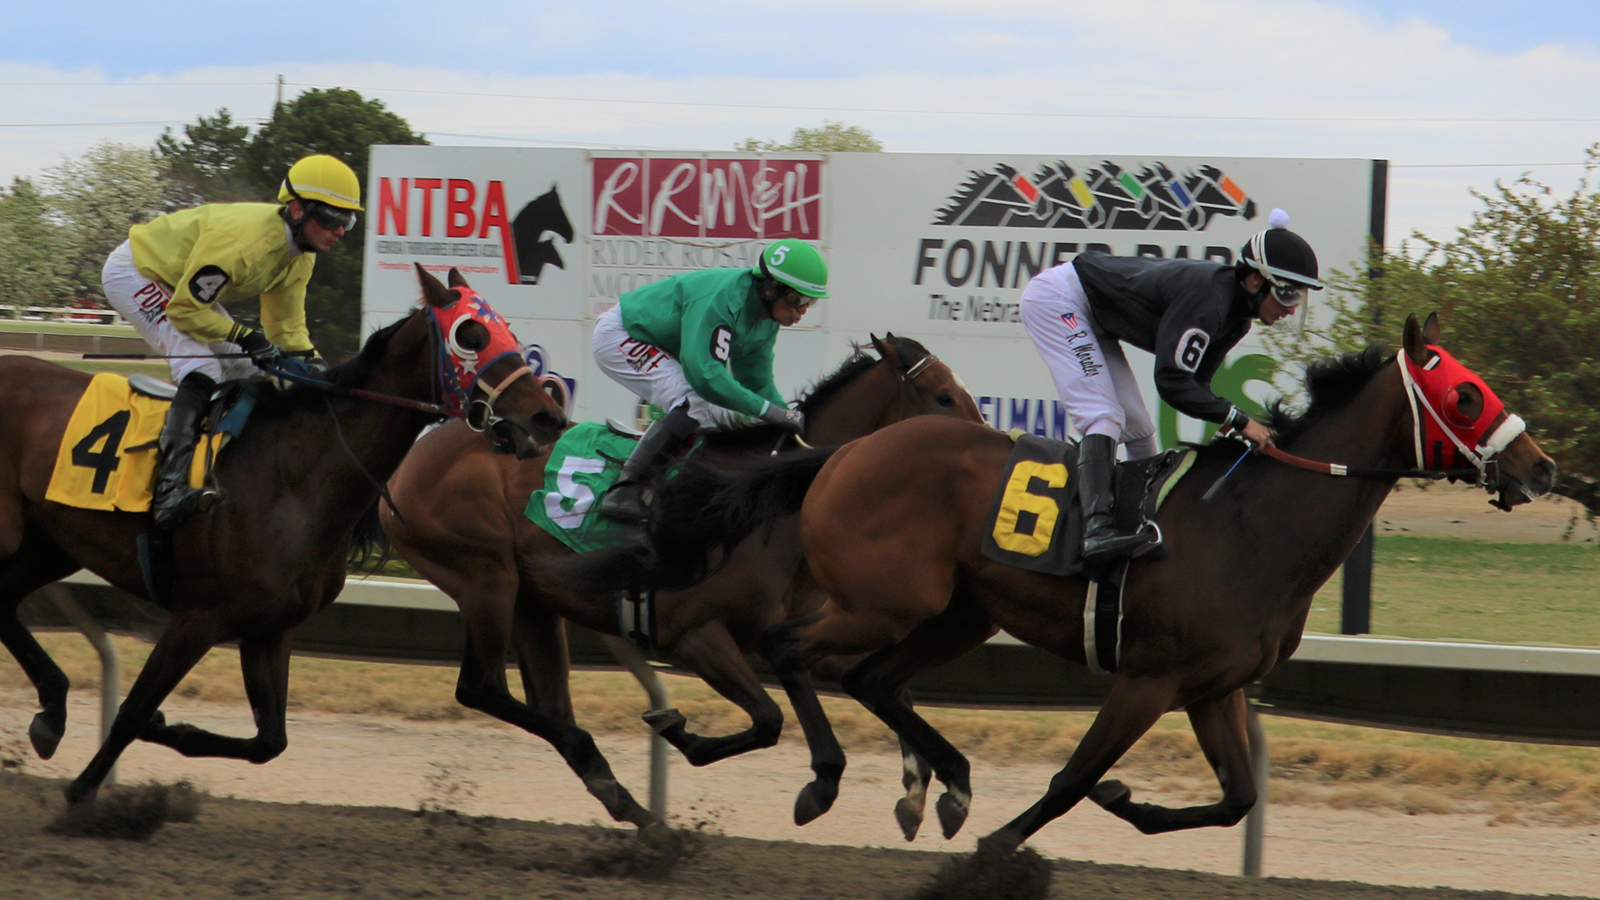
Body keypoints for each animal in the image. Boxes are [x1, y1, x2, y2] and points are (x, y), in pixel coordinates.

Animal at [0, 262, 569, 800]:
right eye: (470, 335)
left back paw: (52, 710)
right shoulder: (198, 616)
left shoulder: (269, 627)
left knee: (4, 603)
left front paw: (173, 730)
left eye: (510, 331)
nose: (548, 417)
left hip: (51, 544)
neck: (295, 476)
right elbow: (135, 709)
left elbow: (269, 741)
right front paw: (82, 794)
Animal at [384, 333, 985, 832]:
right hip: (486, 580)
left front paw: (918, 792)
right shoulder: (694, 634)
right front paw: (684, 734)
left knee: (548, 702)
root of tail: (423, 448)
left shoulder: (800, 627)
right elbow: (769, 720)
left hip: (533, 602)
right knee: (481, 687)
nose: (985, 443)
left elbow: (888, 686)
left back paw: (622, 799)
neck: (767, 505)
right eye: (943, 397)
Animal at [588, 312, 1548, 845]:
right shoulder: (1149, 677)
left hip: (956, 612)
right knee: (795, 651)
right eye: (1466, 397)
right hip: (884, 601)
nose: (1538, 469)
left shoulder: (1215, 686)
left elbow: (1237, 797)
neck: (1255, 524)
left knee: (870, 680)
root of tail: (836, 453)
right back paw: (818, 778)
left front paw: (1133, 806)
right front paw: (1001, 850)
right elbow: (1071, 780)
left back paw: (944, 782)